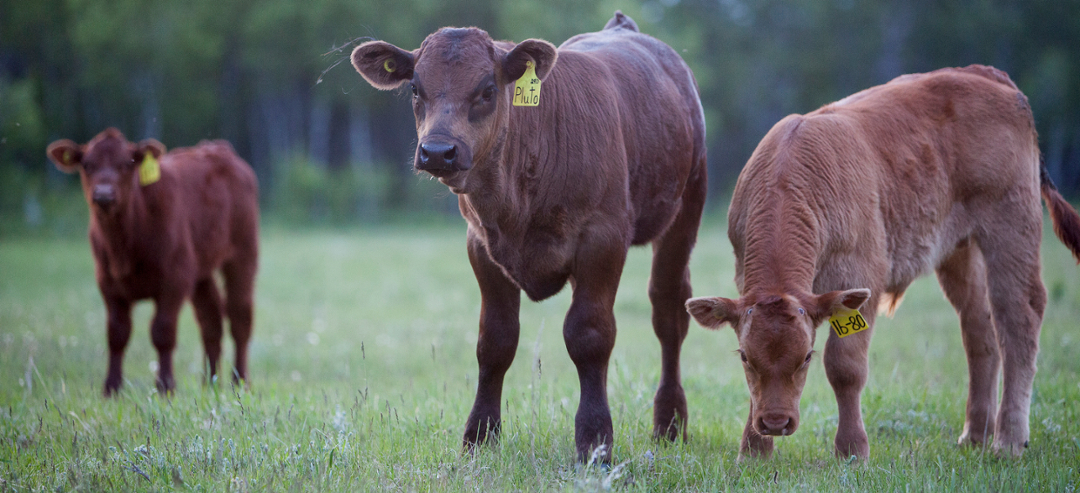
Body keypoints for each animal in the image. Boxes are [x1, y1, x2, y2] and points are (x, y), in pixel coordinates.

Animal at [47, 128, 260, 395]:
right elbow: (117, 333)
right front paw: (111, 388)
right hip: (201, 272)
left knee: (239, 316)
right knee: (211, 321)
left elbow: (162, 331)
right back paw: (209, 384)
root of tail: (219, 149)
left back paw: (239, 381)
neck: (125, 244)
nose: (104, 194)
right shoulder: (107, 284)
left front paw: (165, 386)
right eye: (87, 165)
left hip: (243, 253)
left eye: (127, 163)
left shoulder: (175, 280)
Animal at [352, 10, 708, 458]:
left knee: (668, 313)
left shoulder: (604, 239)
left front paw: (595, 440)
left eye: (487, 90)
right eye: (415, 88)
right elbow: (495, 340)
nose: (437, 151)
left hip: (686, 210)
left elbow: (589, 334)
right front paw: (480, 436)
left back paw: (670, 422)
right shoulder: (480, 245)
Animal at [686, 64, 1080, 458]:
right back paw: (975, 434)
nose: (775, 422)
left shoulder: (862, 278)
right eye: (744, 357)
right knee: (979, 327)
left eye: (807, 356)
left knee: (1018, 318)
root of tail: (986, 75)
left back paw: (1009, 439)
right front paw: (754, 450)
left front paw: (852, 448)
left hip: (1012, 225)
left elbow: (845, 366)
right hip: (959, 249)